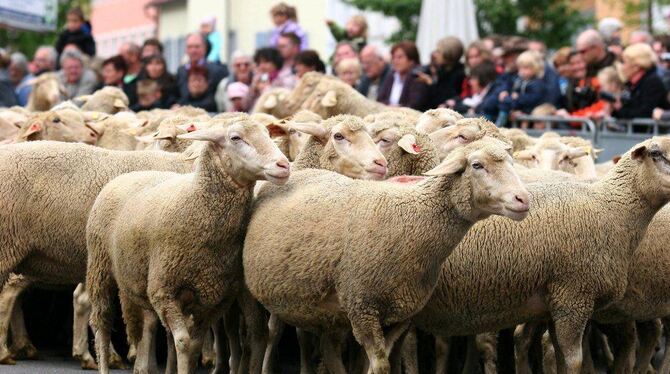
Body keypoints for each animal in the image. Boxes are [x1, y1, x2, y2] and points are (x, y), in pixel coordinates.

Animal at [86, 117, 288, 374]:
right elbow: (183, 341)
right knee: (101, 323)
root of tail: (125, 175)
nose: (284, 165)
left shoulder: (212, 298)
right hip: (99, 268)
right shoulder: (164, 291)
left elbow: (195, 343)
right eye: (235, 138)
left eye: (268, 134)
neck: (196, 202)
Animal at [244, 137, 532, 374]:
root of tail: (298, 171)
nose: (523, 199)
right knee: (270, 334)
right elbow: (381, 364)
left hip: (329, 311)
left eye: (511, 163)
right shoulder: (363, 307)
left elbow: (379, 362)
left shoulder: (401, 314)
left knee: (329, 348)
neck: (414, 217)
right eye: (477, 165)